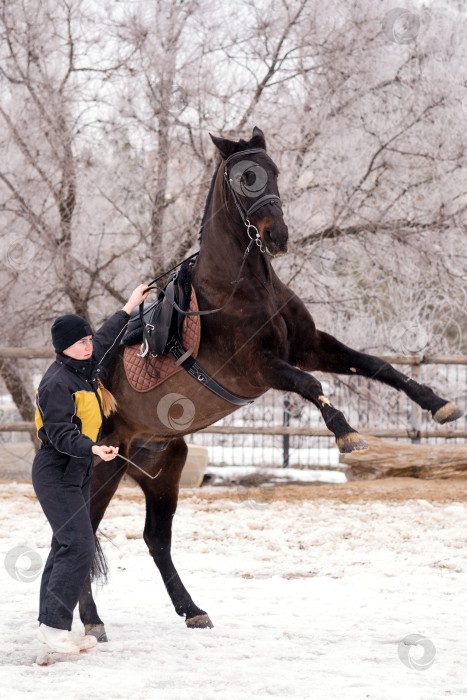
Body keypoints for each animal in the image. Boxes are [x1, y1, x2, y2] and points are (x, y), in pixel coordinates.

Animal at [79, 126, 460, 640]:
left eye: (273, 171)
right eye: (243, 179)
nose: (277, 237)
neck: (241, 289)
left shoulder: (309, 345)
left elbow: (374, 365)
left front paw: (438, 403)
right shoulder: (260, 369)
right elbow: (310, 385)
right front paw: (347, 435)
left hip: (162, 468)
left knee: (156, 539)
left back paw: (192, 610)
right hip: (103, 469)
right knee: (80, 532)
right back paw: (92, 621)